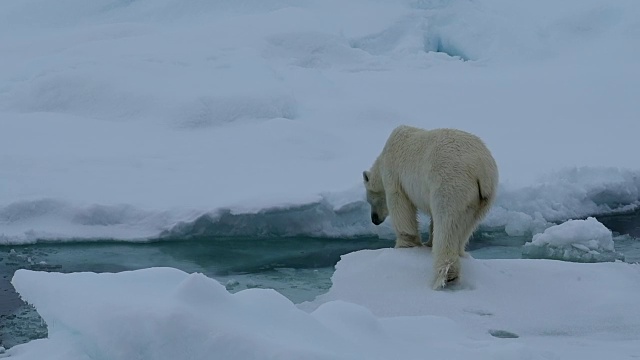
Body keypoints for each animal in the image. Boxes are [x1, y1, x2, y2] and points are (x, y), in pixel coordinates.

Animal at [362, 125, 498, 288]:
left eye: (370, 201)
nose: (374, 219)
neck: (383, 157)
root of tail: (482, 169)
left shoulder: (394, 174)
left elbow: (400, 206)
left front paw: (405, 244)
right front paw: (427, 243)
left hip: (451, 182)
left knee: (447, 222)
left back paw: (446, 274)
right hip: (481, 199)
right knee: (466, 225)